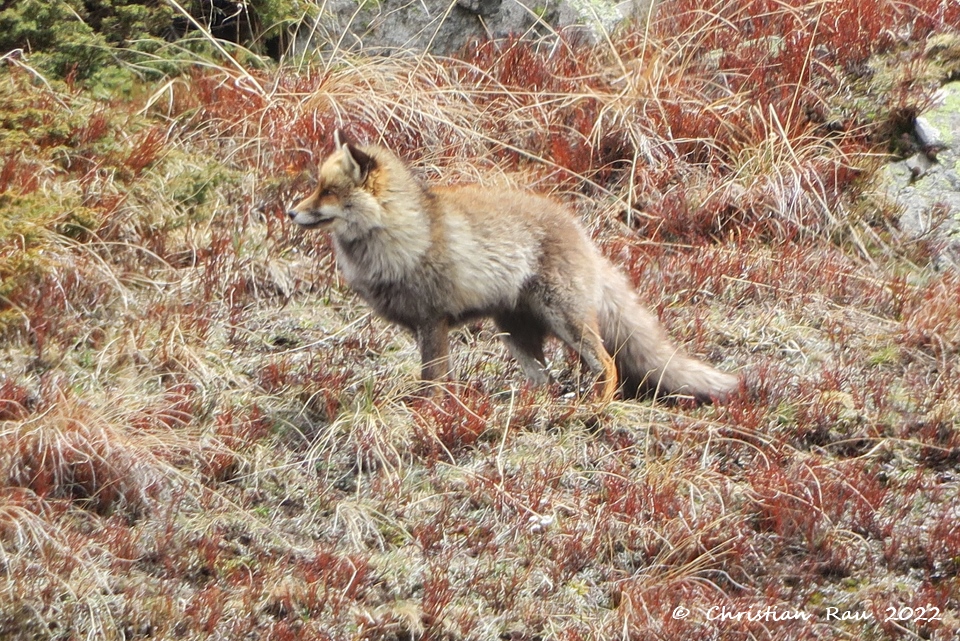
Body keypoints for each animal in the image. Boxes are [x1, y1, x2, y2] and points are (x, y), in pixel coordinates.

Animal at [288, 132, 740, 402]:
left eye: (327, 192)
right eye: (316, 187)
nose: (291, 212)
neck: (401, 236)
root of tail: (579, 228)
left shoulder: (433, 321)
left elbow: (432, 382)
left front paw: (426, 414)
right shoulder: (424, 325)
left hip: (566, 320)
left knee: (607, 365)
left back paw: (595, 409)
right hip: (514, 332)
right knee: (546, 381)